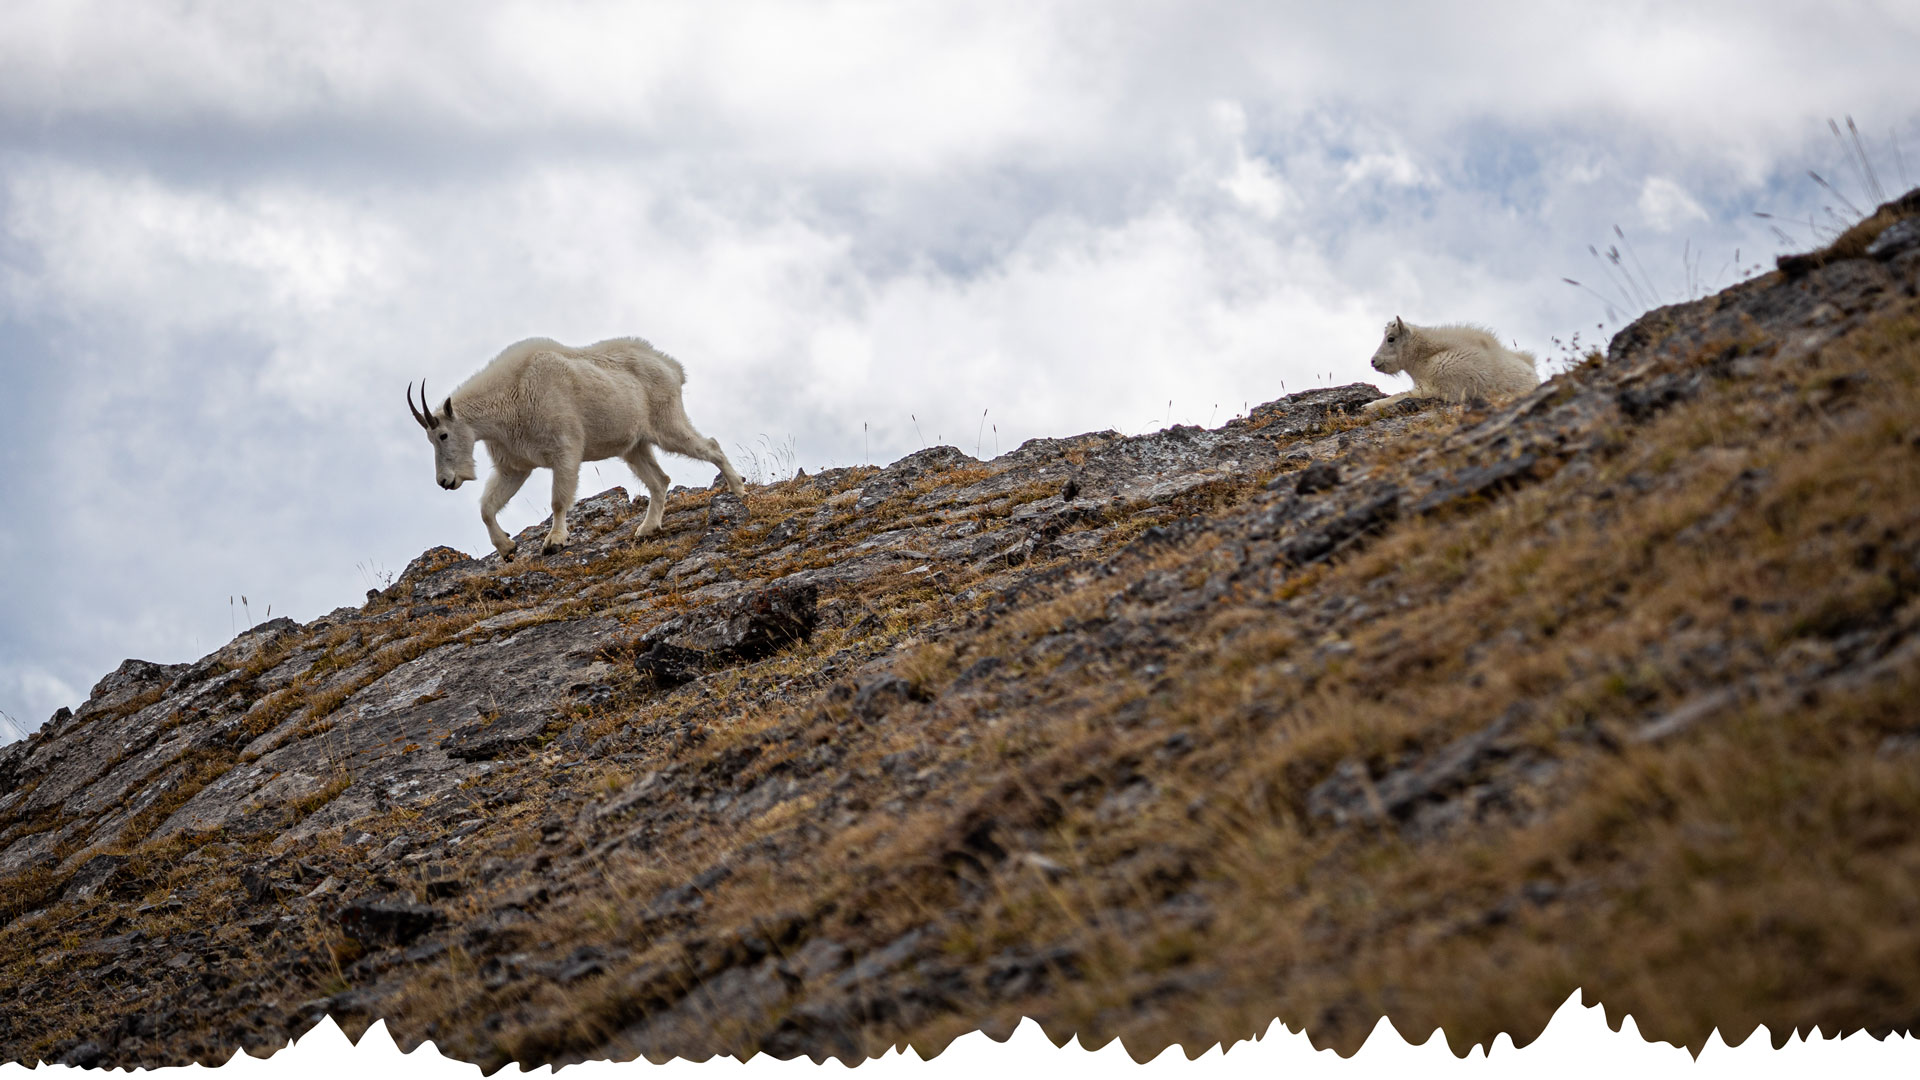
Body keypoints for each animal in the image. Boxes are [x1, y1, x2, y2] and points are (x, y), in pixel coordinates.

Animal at [408, 336, 744, 553]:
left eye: (443, 435)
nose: (445, 481)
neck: (510, 393)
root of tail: (672, 367)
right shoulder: (514, 467)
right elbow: (487, 508)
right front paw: (507, 548)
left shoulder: (565, 451)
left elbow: (558, 500)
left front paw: (554, 541)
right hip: (634, 446)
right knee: (660, 480)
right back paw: (647, 528)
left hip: (667, 424)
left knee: (710, 446)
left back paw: (738, 489)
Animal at [1359, 317, 1536, 413]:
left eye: (1391, 338)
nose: (1373, 361)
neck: (1426, 360)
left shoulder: (1438, 389)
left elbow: (1398, 396)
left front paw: (1367, 406)